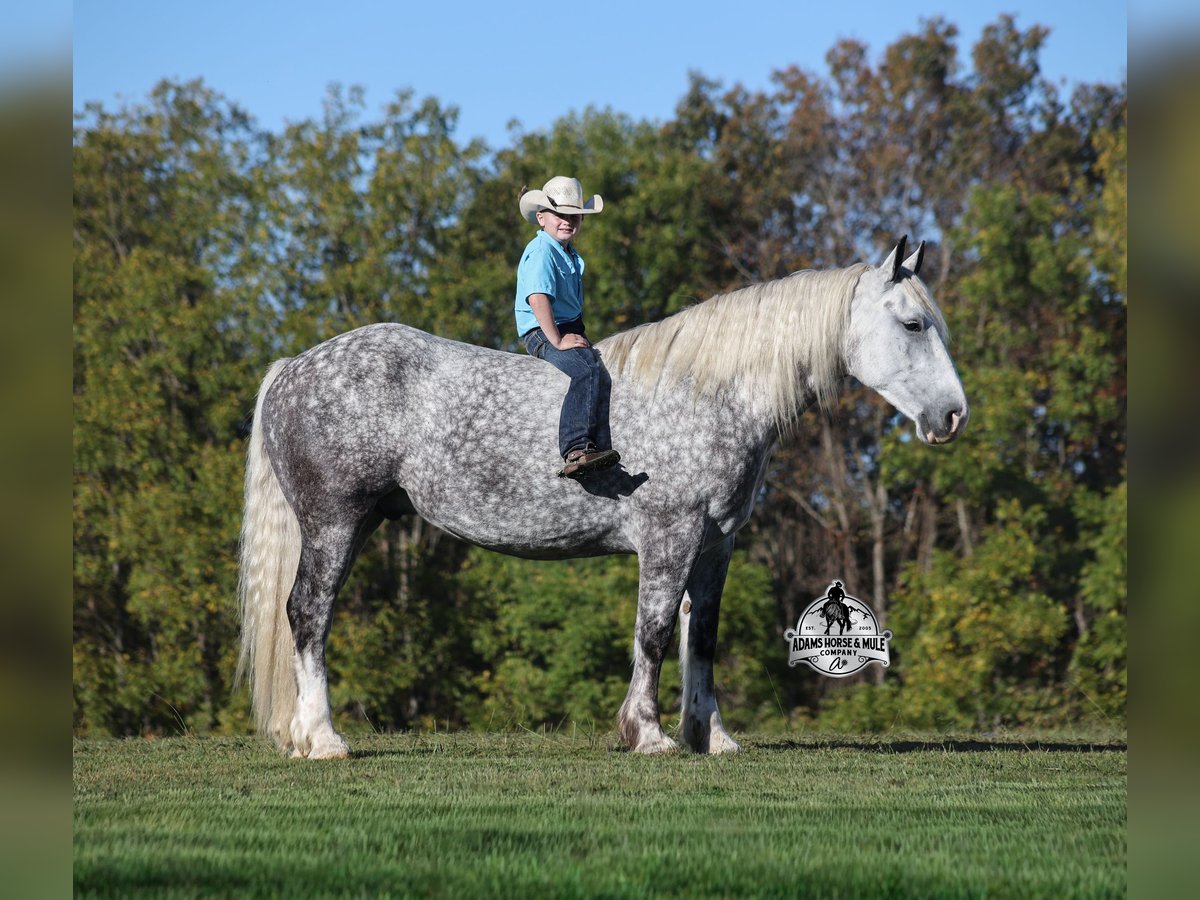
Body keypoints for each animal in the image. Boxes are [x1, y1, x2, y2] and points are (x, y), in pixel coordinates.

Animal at [237, 236, 968, 759]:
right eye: (912, 324)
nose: (954, 416)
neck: (709, 391)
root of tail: (293, 367)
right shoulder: (670, 536)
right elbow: (653, 631)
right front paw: (648, 733)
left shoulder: (716, 545)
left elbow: (701, 637)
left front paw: (712, 737)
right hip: (335, 521)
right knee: (309, 614)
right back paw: (324, 739)